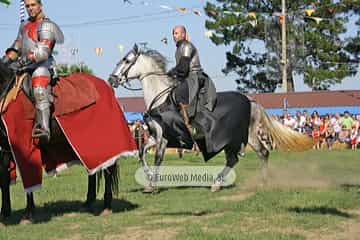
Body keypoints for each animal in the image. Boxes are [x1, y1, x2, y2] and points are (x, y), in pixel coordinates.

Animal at [109, 44, 312, 192]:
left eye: (127, 60)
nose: (112, 79)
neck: (160, 96)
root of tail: (250, 100)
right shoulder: (155, 135)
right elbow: (141, 152)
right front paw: (149, 178)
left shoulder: (163, 137)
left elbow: (158, 159)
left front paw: (152, 185)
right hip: (250, 134)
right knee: (263, 152)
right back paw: (262, 183)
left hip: (233, 139)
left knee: (234, 159)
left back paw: (217, 184)